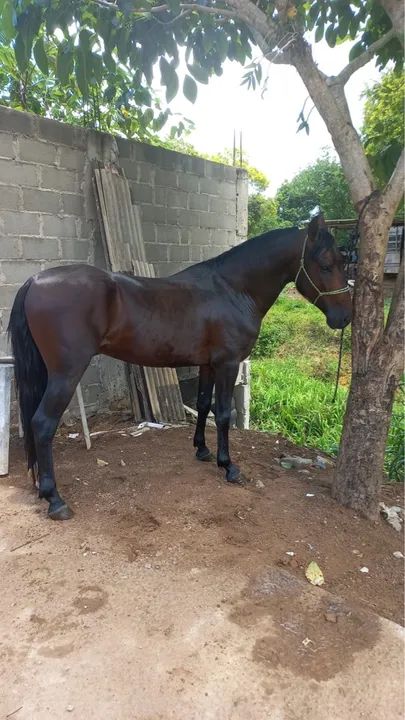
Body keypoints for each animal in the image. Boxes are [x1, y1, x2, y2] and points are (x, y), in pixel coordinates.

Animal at [8, 213, 352, 521]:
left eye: (342, 261)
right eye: (325, 265)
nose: (344, 317)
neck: (232, 289)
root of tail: (35, 280)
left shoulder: (208, 365)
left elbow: (202, 405)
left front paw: (202, 451)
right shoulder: (228, 364)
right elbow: (223, 414)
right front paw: (229, 466)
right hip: (65, 374)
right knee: (42, 424)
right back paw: (55, 499)